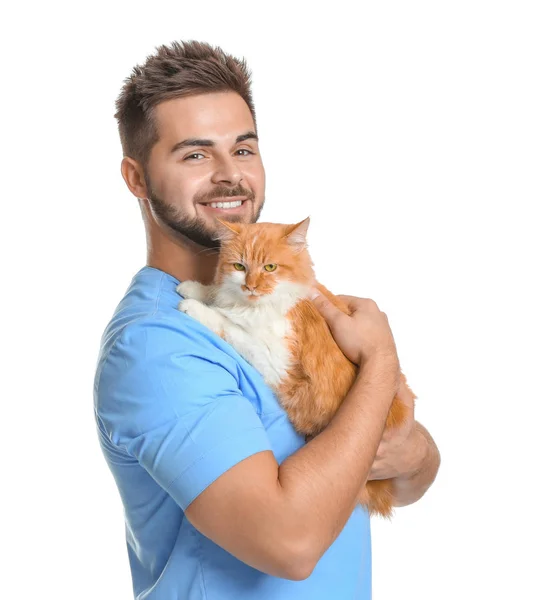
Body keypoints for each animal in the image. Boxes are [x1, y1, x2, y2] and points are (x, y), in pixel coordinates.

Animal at [176, 218, 414, 516]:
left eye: (270, 268)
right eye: (240, 267)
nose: (251, 287)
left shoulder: (275, 358)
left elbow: (226, 323)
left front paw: (194, 306)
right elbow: (220, 296)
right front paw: (195, 288)